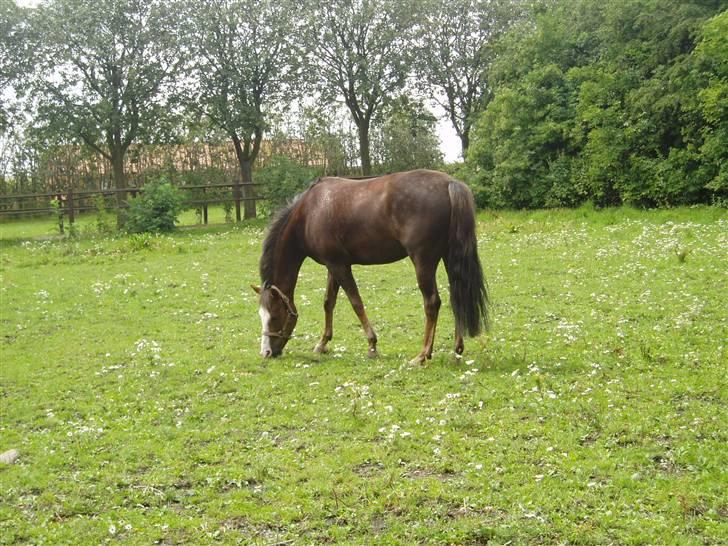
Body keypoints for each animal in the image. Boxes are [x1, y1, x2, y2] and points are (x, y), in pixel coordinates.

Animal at [252, 169, 489, 364]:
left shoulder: (340, 266)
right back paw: (457, 349)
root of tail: (450, 183)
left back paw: (423, 355)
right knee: (457, 295)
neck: (310, 212)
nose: (266, 353)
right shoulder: (333, 266)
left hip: (423, 261)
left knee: (432, 303)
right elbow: (329, 303)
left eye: (274, 316)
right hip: (449, 257)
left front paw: (372, 345)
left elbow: (356, 303)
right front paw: (322, 343)